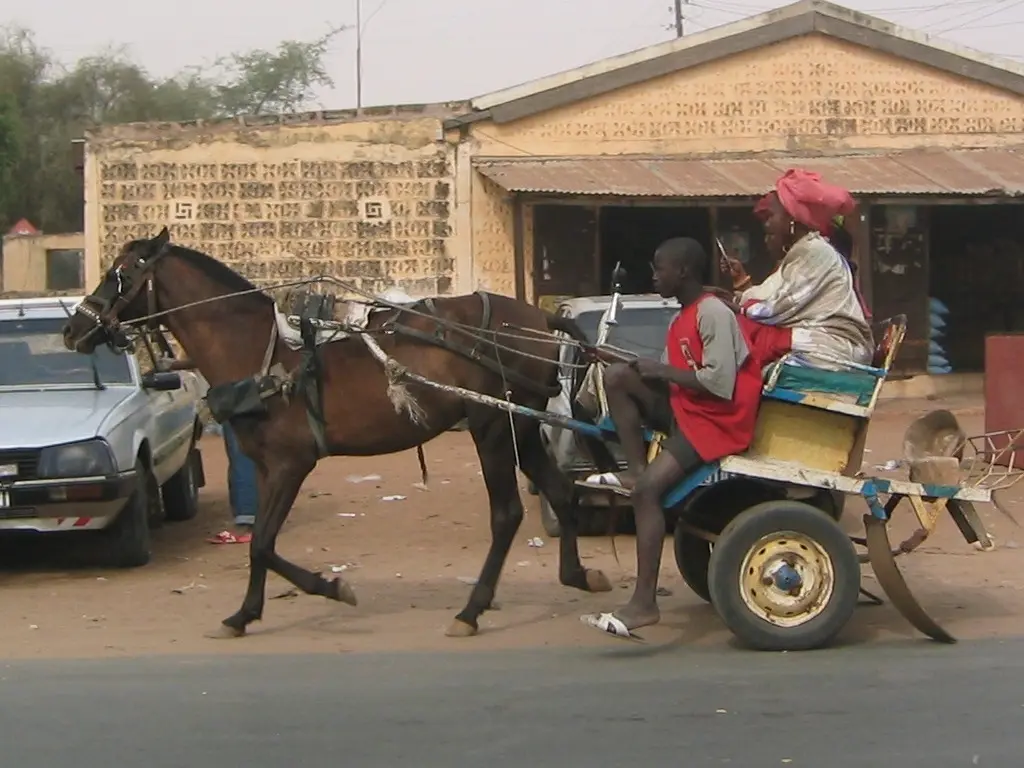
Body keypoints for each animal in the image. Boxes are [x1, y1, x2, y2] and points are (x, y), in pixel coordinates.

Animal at [59, 227, 610, 638]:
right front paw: (244, 614)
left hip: (493, 424)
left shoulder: (291, 463)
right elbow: (260, 542)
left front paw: (330, 588)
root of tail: (539, 316)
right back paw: (578, 574)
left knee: (507, 513)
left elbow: (263, 544)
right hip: (522, 423)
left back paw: (472, 609)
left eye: (120, 274)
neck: (261, 354)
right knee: (560, 492)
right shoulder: (265, 467)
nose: (73, 329)